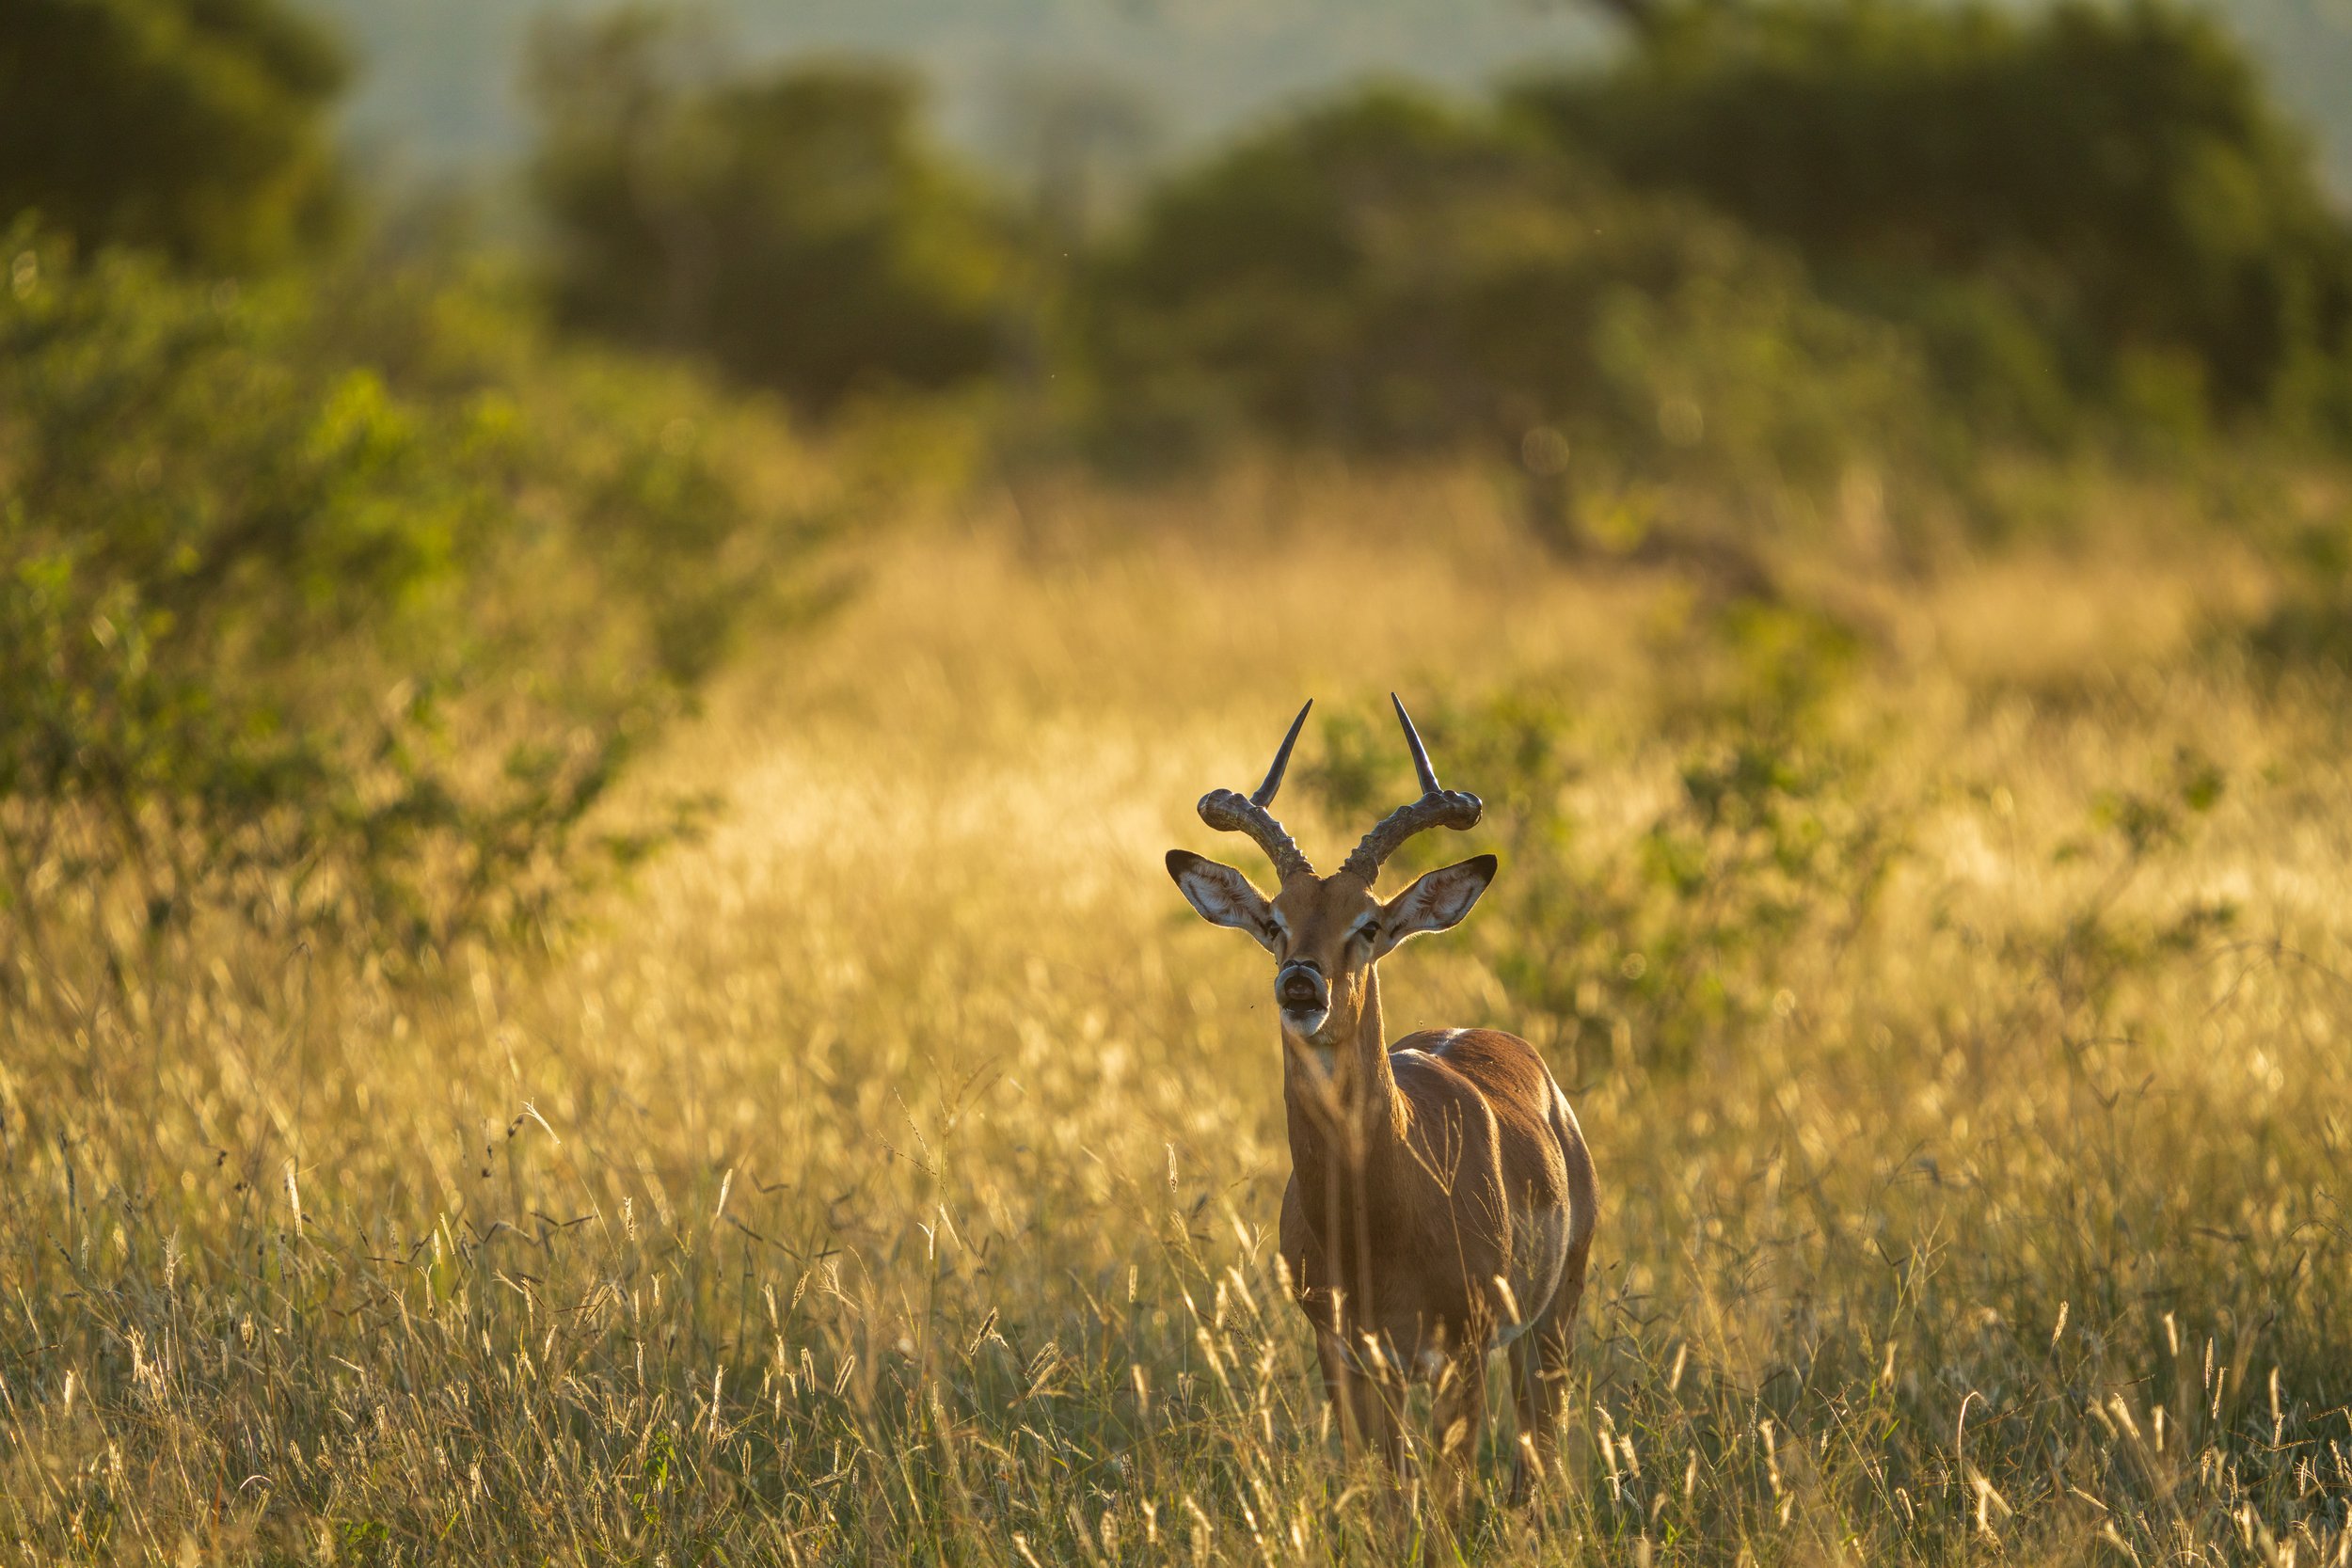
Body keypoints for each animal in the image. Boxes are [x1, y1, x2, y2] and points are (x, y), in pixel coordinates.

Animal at [1166, 697, 1597, 1520]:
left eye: (1367, 923)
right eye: (1274, 920)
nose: (1302, 984)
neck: (1376, 1212)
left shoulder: (1460, 1357)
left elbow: (1447, 1506)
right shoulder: (1348, 1358)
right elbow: (1387, 1506)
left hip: (1550, 1323)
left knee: (1537, 1462)